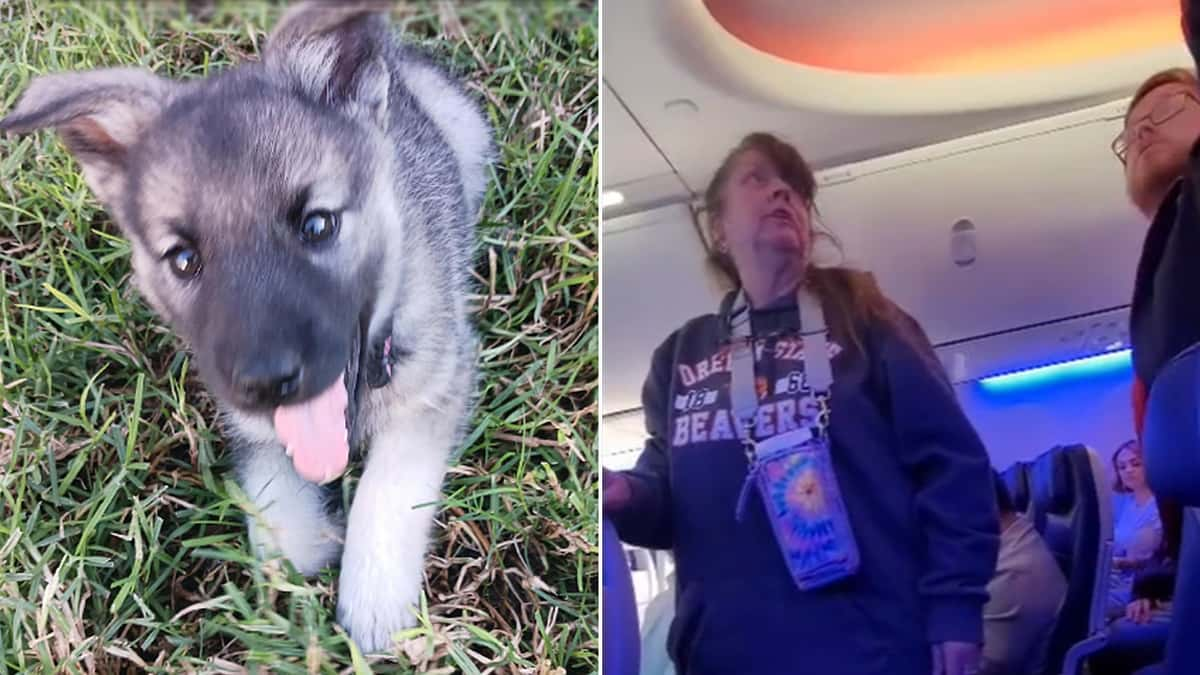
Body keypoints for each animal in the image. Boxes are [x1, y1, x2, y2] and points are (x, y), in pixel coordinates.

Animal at [0, 1, 492, 653]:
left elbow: (388, 489)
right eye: (184, 259)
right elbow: (279, 527)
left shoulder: (437, 385)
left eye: (317, 225)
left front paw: (374, 598)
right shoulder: (255, 432)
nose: (263, 383)